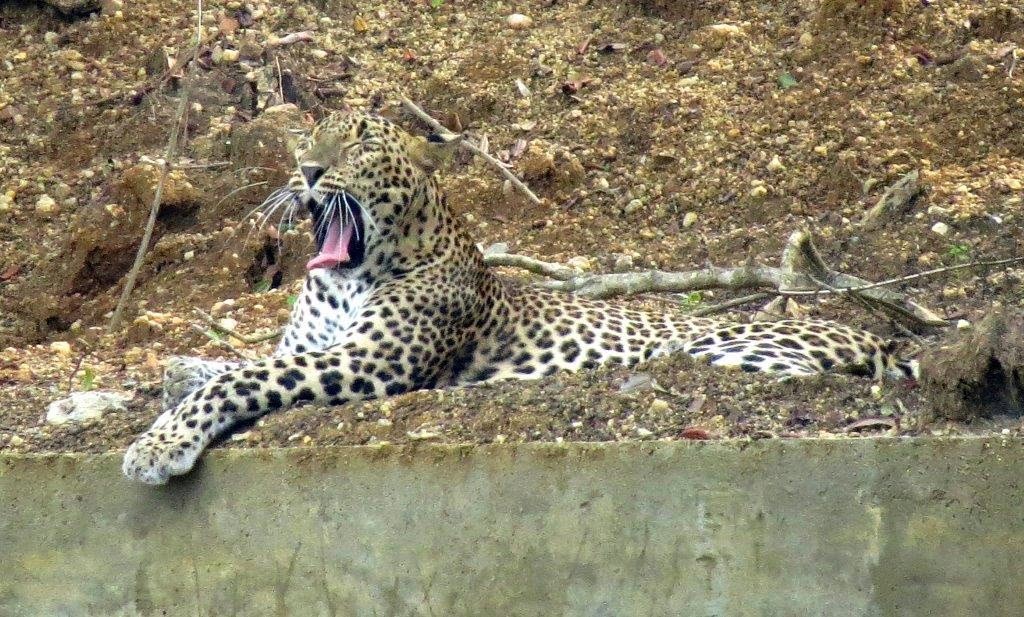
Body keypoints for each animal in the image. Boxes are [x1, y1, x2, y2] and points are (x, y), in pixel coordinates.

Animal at [121, 112, 921, 487]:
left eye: (360, 143)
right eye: (307, 140)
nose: (308, 171)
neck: (346, 277)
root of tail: (880, 336)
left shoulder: (366, 361)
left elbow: (239, 378)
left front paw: (158, 444)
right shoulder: (312, 346)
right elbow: (230, 363)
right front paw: (174, 371)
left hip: (730, 345)